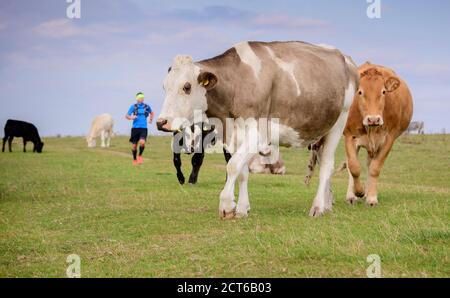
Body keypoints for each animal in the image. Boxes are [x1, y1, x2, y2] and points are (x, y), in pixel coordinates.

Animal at [156, 41, 356, 219]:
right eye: (165, 87)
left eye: (187, 87)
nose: (161, 122)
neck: (236, 83)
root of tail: (345, 58)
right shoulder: (232, 136)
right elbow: (242, 171)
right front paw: (242, 209)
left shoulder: (258, 134)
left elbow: (232, 166)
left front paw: (226, 205)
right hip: (320, 130)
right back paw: (327, 204)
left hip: (339, 121)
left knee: (327, 165)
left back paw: (318, 207)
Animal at [342, 61, 414, 206]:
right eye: (360, 92)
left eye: (383, 91)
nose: (373, 119)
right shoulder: (349, 135)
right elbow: (353, 167)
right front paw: (358, 191)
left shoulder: (389, 138)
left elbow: (375, 168)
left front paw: (371, 197)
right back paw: (352, 196)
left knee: (370, 164)